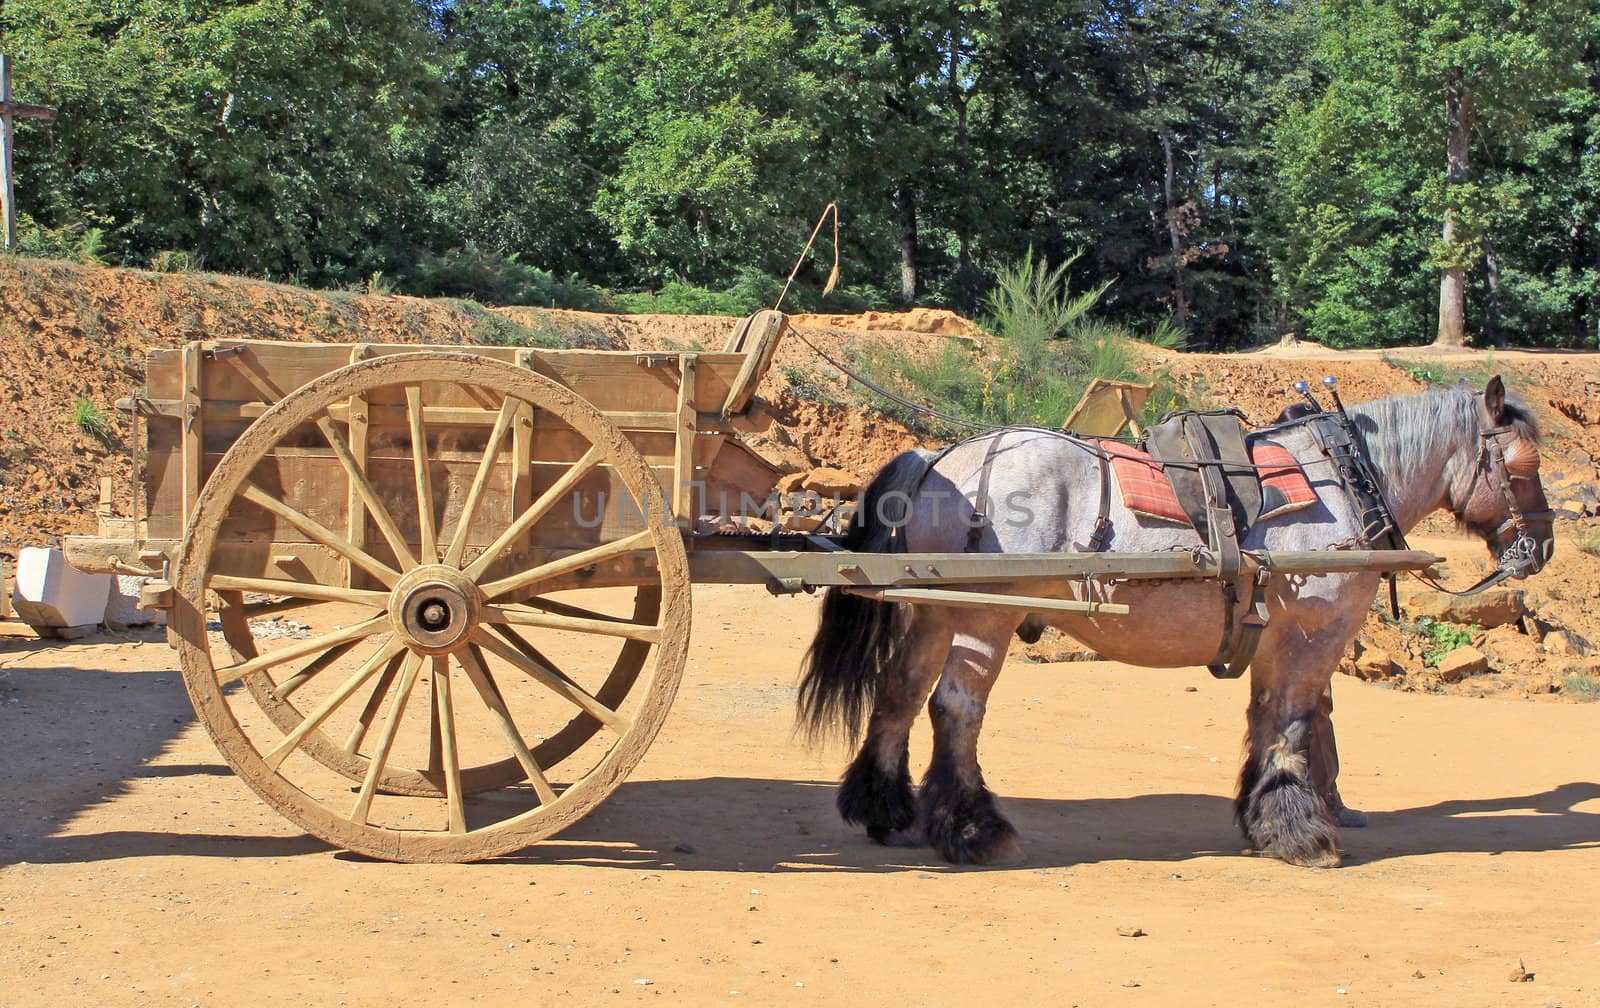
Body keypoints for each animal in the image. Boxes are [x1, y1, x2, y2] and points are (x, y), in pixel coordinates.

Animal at [806, 379, 1555, 870]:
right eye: (1524, 464)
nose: (1539, 548)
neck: (1345, 482)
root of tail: (939, 459)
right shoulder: (1313, 633)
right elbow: (1293, 721)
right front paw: (1300, 831)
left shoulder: (1274, 636)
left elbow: (1266, 718)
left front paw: (1264, 819)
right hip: (984, 615)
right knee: (955, 708)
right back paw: (972, 830)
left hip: (933, 610)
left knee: (899, 695)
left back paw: (884, 809)